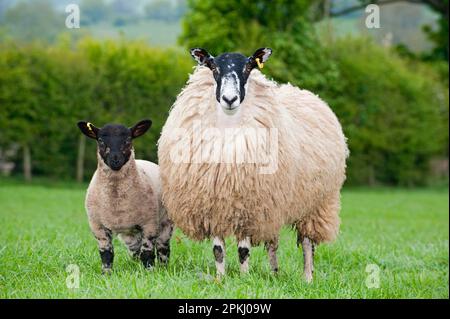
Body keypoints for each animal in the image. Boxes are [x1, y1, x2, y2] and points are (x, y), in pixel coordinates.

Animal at [77, 119, 172, 274]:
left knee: (162, 248)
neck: (117, 201)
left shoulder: (149, 224)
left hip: (165, 222)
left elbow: (147, 253)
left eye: (128, 140)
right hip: (129, 233)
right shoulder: (97, 227)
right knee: (135, 250)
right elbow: (106, 254)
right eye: (100, 141)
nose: (115, 160)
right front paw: (106, 274)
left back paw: (163, 268)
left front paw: (149, 272)